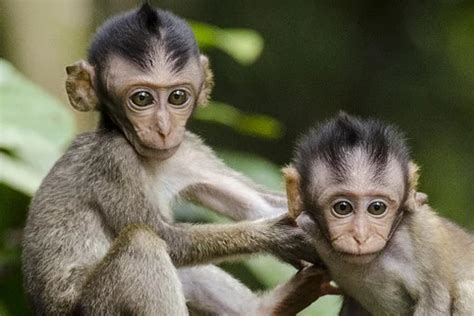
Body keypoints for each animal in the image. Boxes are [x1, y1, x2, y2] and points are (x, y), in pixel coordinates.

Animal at [22, 3, 326, 316]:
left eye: (177, 97)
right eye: (142, 99)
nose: (164, 128)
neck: (148, 158)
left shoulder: (189, 150)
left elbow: (257, 204)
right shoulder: (113, 160)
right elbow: (165, 236)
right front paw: (275, 236)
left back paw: (267, 307)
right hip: (95, 307)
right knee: (142, 241)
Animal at [284, 113, 472, 316]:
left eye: (377, 208)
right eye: (342, 207)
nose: (361, 236)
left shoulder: (425, 236)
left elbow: (434, 300)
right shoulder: (307, 225)